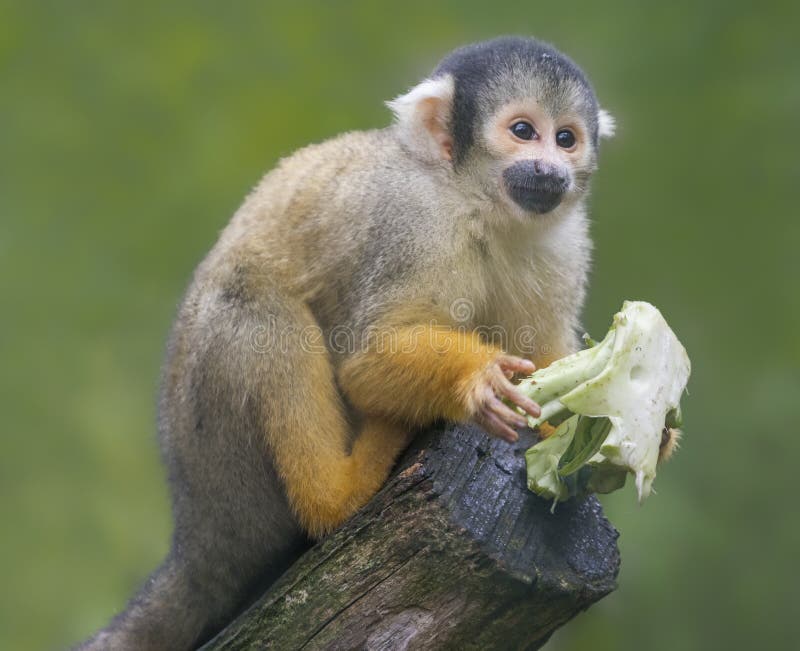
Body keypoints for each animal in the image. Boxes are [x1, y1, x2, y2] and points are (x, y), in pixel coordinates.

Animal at [81, 38, 616, 648]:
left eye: (566, 138)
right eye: (524, 131)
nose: (551, 169)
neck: (475, 202)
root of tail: (194, 538)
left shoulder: (563, 244)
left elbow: (545, 351)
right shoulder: (414, 223)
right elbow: (365, 362)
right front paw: (477, 380)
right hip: (215, 455)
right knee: (255, 304)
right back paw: (339, 495)